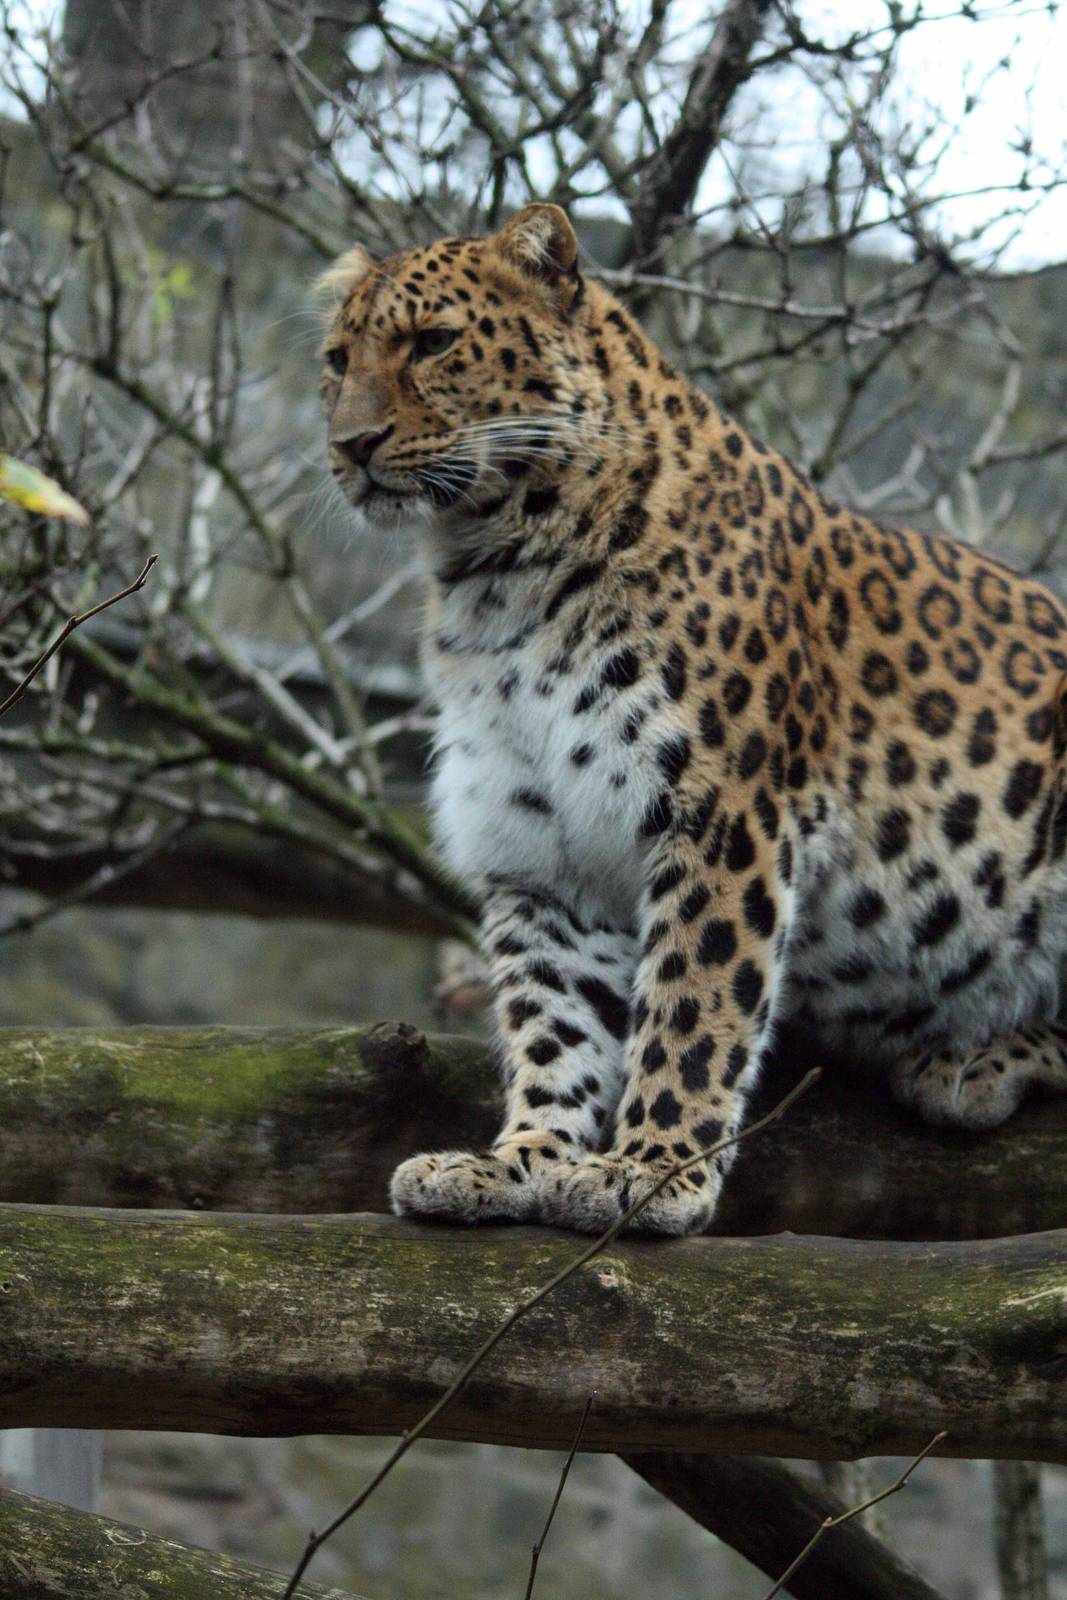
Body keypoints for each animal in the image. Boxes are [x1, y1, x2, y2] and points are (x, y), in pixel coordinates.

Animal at [318, 201, 1067, 1237]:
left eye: (433, 342)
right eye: (336, 360)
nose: (349, 445)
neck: (495, 571)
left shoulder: (726, 815)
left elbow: (692, 1003)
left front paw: (649, 1171)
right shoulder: (541, 853)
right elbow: (552, 1023)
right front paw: (517, 1161)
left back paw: (976, 1059)